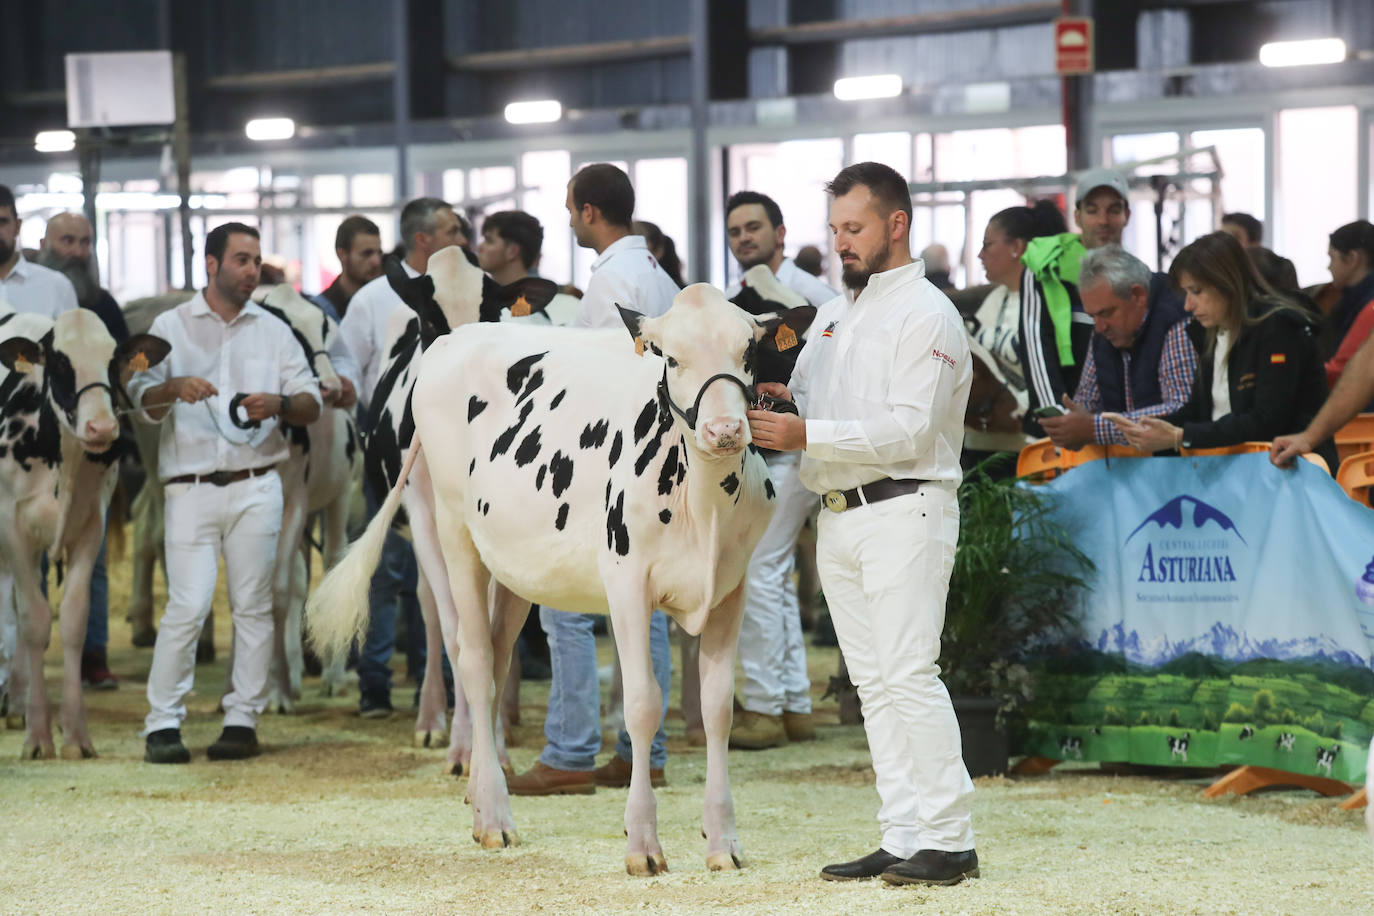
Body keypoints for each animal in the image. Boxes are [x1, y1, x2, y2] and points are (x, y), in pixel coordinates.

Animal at [0, 304, 168, 758]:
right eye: (59, 363)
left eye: (114, 362)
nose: (102, 429)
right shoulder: (14, 528)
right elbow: (36, 620)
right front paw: (38, 736)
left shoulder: (93, 525)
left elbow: (73, 620)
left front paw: (74, 733)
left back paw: (16, 697)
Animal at [314, 282, 785, 878]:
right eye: (672, 358)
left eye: (748, 352)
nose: (725, 430)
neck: (704, 506)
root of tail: (451, 339)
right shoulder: (626, 583)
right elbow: (642, 705)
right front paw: (642, 845)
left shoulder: (730, 588)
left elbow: (718, 707)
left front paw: (723, 842)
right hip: (448, 530)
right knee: (470, 657)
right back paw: (493, 817)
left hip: (515, 568)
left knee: (496, 661)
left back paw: (482, 792)